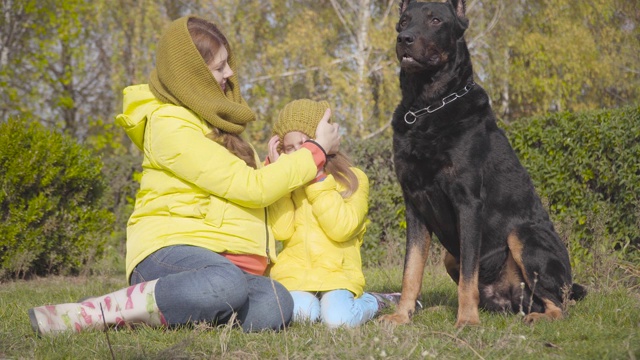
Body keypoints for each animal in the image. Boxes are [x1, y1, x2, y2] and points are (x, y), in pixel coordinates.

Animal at [380, 0, 584, 328]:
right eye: (403, 21)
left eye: (435, 20)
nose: (404, 39)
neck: (426, 107)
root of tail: (514, 301)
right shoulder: (414, 204)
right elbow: (411, 270)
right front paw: (401, 316)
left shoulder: (468, 202)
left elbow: (468, 277)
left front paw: (467, 321)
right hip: (451, 255)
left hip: (522, 236)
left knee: (559, 303)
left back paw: (537, 316)